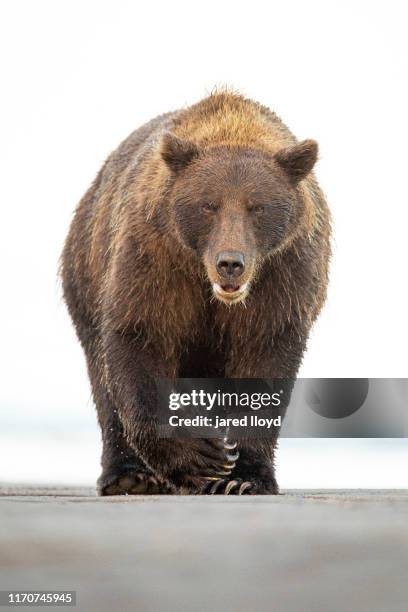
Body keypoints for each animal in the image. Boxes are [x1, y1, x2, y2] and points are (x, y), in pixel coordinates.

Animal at [62, 89, 334, 492]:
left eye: (257, 207)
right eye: (209, 205)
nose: (230, 262)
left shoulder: (282, 275)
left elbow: (265, 355)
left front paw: (244, 478)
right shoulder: (156, 258)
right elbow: (140, 335)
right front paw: (202, 455)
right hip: (86, 273)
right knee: (102, 378)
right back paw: (129, 476)